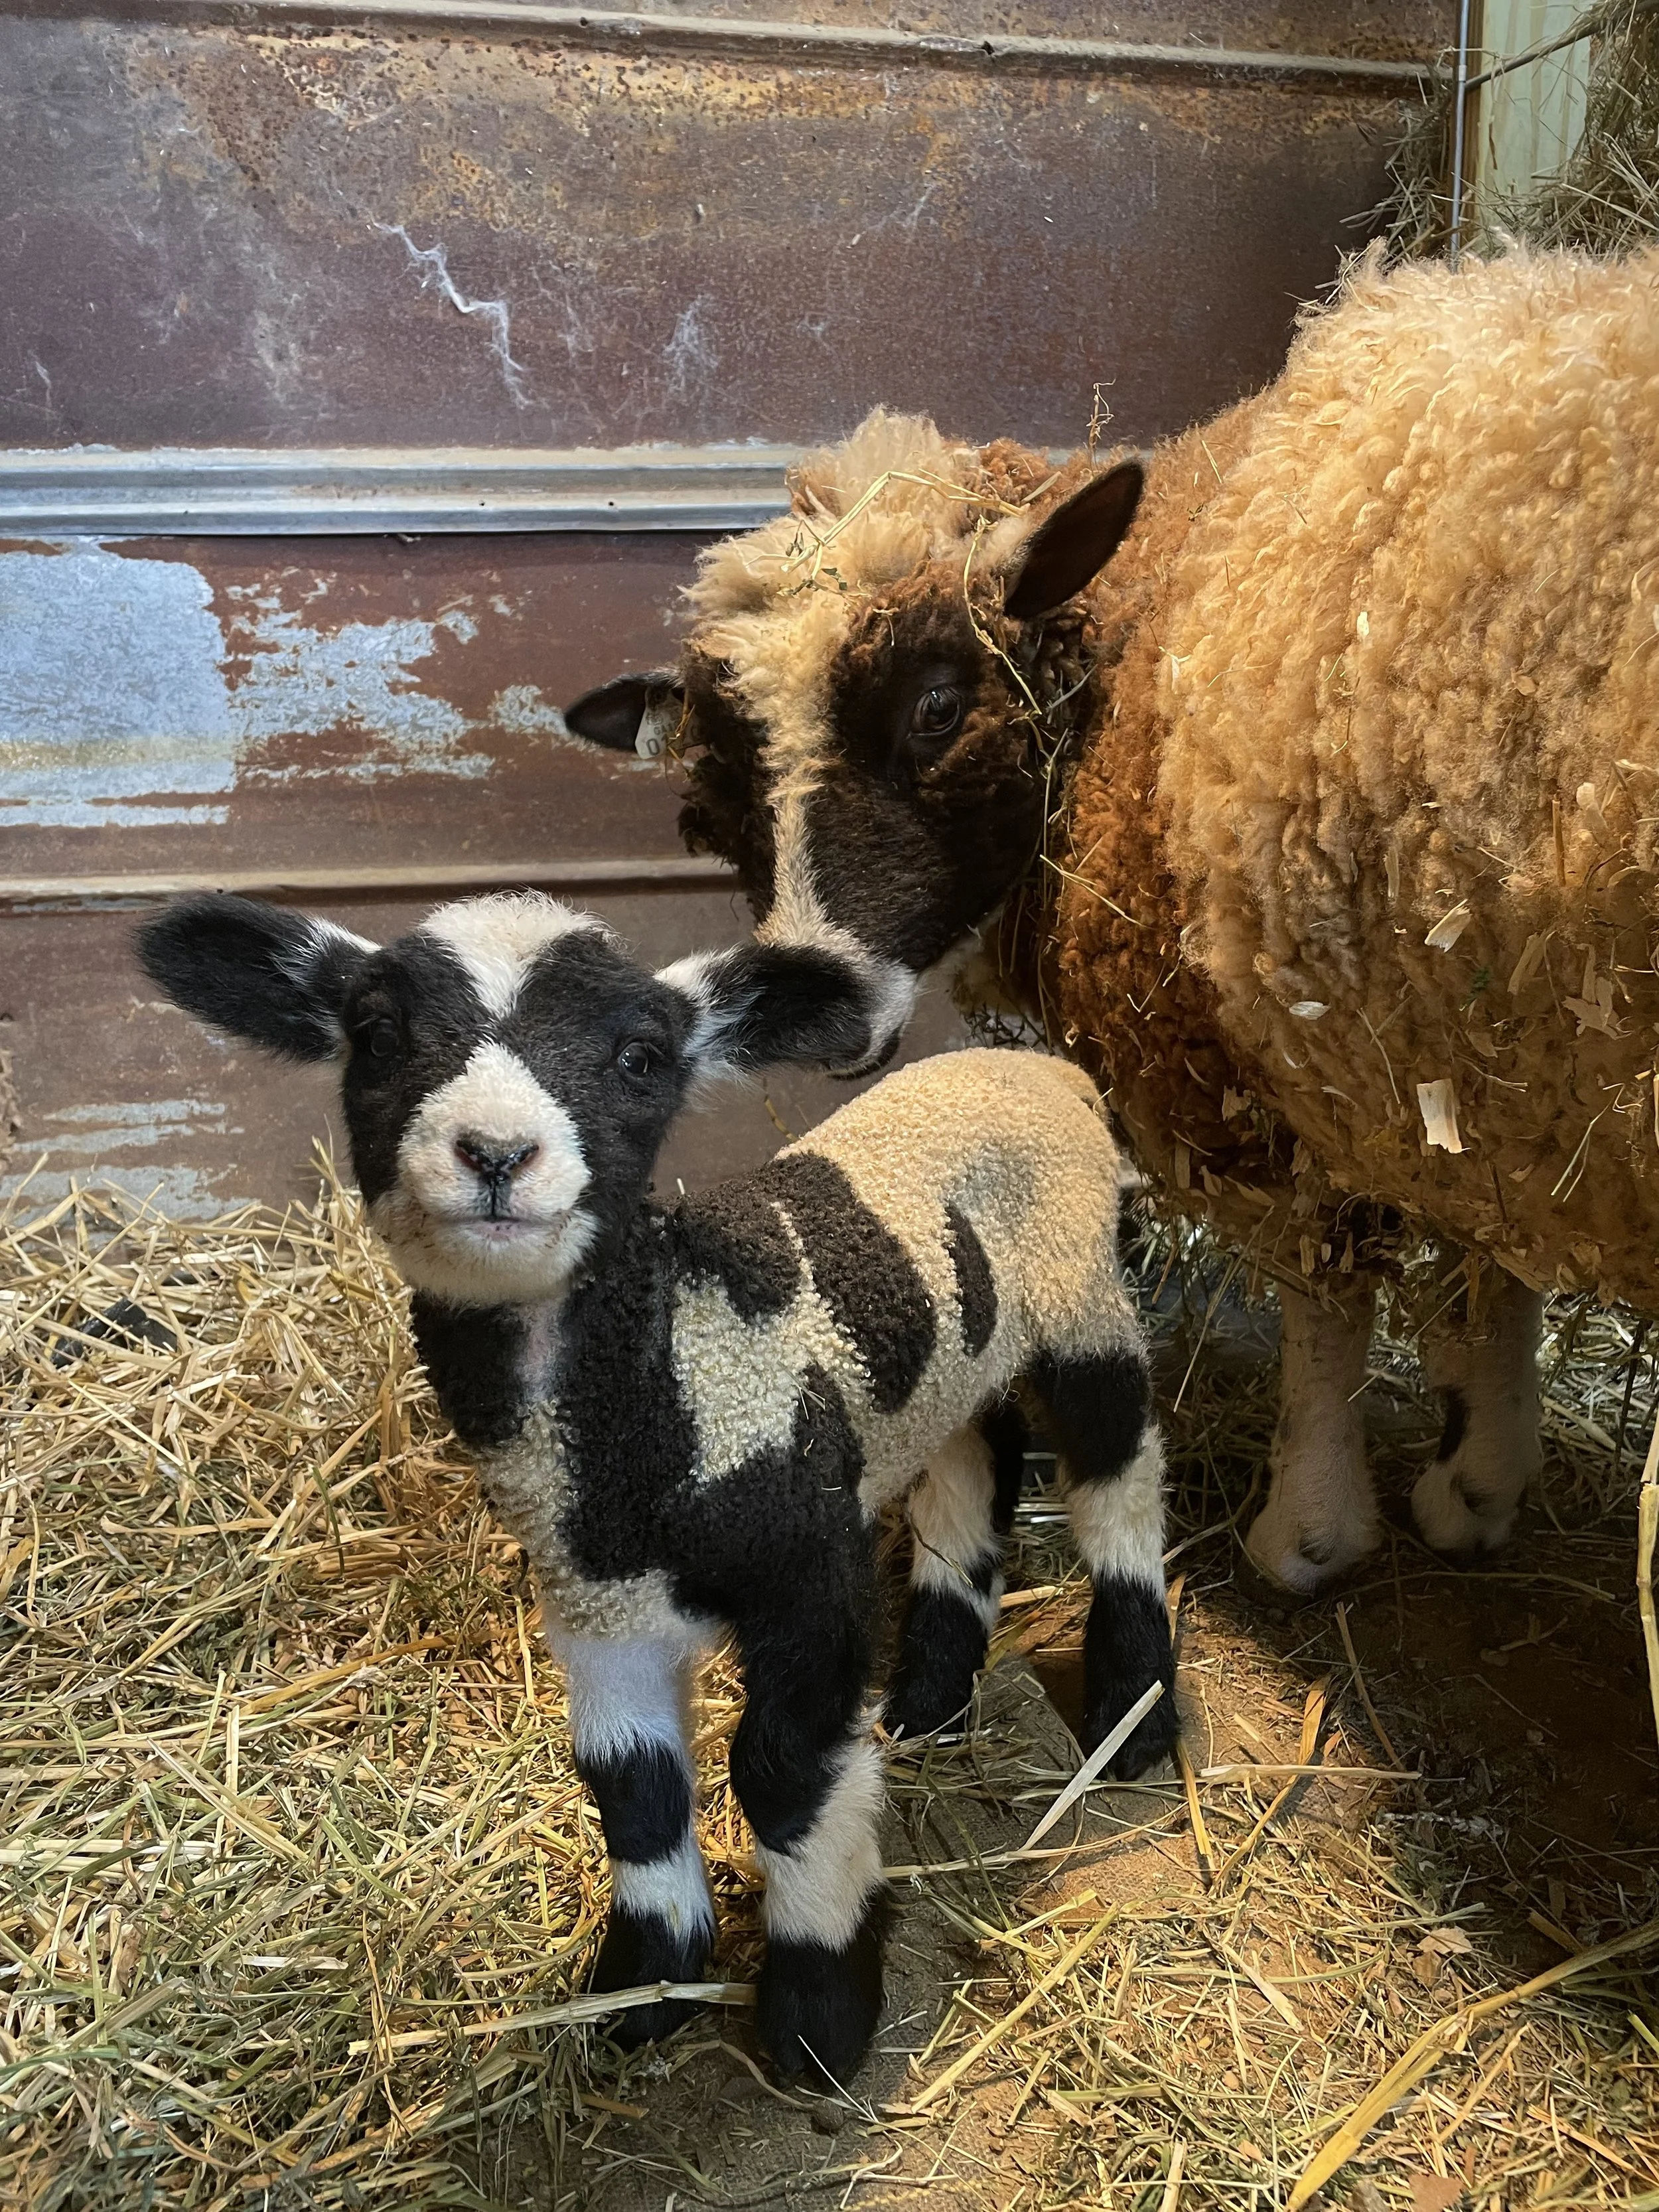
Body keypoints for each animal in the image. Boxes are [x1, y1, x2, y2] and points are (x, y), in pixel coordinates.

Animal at [136, 889, 1177, 2084]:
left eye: (640, 1058)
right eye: (376, 1035)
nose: (496, 1152)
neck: (666, 1399)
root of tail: (1039, 1065)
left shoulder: (807, 1564)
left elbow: (781, 1771)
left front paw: (820, 2010)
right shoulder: (601, 1606)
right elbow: (630, 1787)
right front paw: (647, 1984)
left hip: (1079, 1288)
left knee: (1118, 1476)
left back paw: (1134, 1713)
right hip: (953, 1356)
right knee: (973, 1458)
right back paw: (928, 1700)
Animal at [565, 245, 1659, 1598]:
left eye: (938, 706)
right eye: (712, 800)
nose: (810, 1009)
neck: (1138, 628)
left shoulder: (1270, 1048)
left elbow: (1327, 1289)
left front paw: (1312, 1526)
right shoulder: (1465, 1040)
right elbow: (1489, 1252)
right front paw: (1481, 1474)